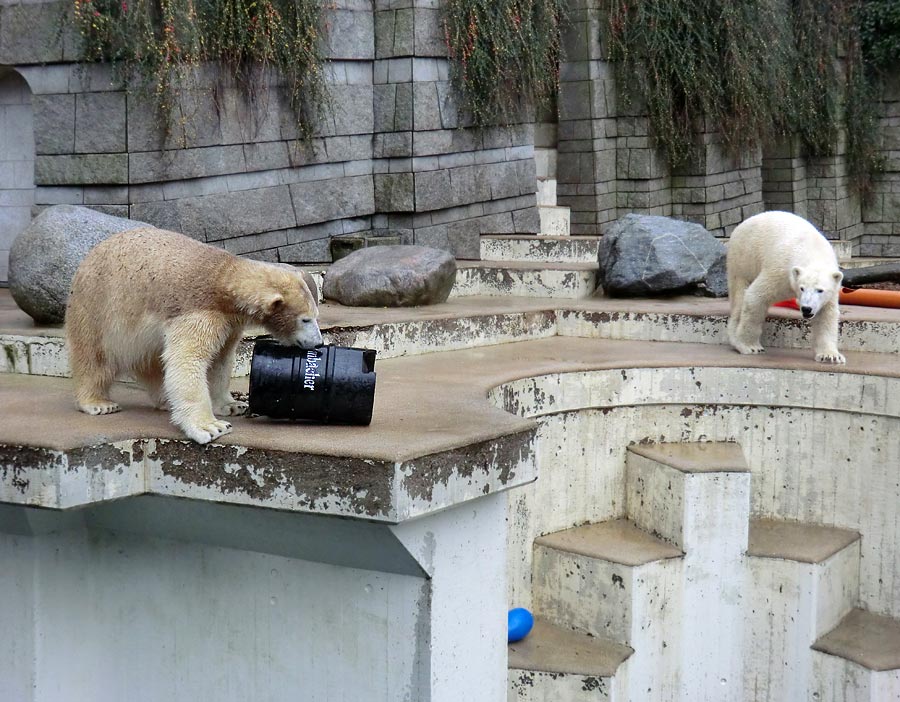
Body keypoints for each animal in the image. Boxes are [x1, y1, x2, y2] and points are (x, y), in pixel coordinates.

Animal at [65, 228, 324, 442]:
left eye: (316, 316)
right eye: (305, 319)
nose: (319, 342)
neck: (224, 278)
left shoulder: (229, 323)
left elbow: (220, 361)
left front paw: (232, 405)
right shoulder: (199, 312)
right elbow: (188, 359)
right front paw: (211, 427)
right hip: (98, 306)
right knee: (94, 357)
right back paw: (99, 403)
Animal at [724, 209, 844, 364]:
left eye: (820, 290)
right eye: (802, 288)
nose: (806, 309)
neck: (813, 250)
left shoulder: (832, 289)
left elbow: (826, 315)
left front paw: (830, 356)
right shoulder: (780, 271)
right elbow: (755, 297)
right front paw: (751, 346)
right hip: (743, 257)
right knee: (739, 295)